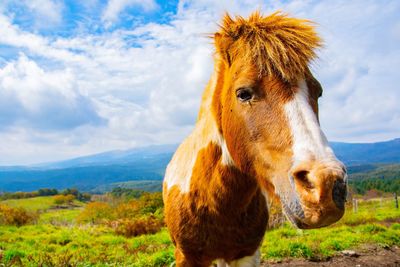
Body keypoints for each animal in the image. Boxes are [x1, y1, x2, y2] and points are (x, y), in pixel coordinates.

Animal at [162, 12, 346, 267]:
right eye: (243, 93)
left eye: (318, 91)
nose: (327, 185)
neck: (215, 201)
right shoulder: (186, 257)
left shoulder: (247, 254)